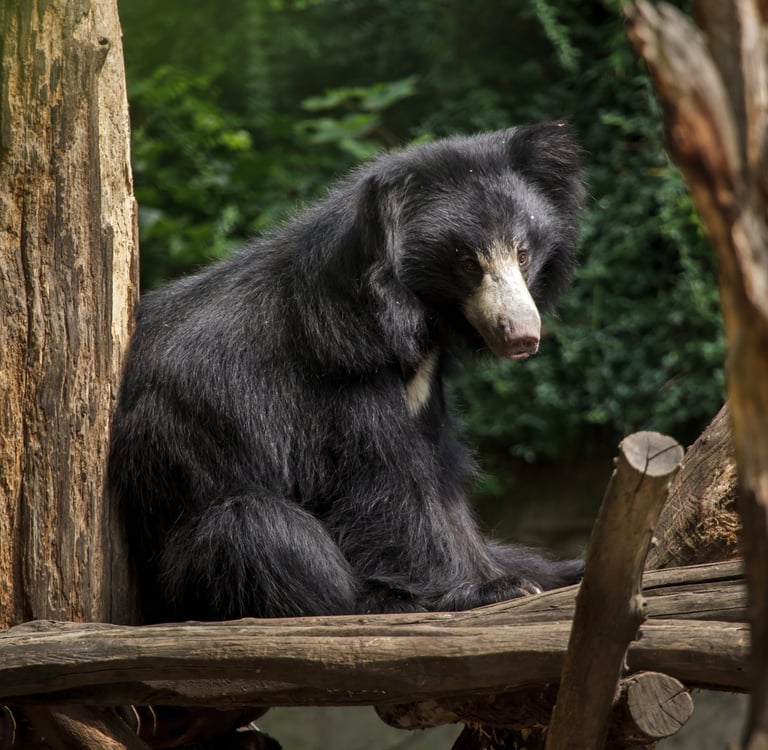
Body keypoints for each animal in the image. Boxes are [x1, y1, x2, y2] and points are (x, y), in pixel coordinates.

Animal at [107, 121, 586, 623]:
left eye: (523, 253)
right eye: (468, 262)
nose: (522, 336)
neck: (407, 319)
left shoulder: (423, 390)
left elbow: (442, 484)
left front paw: (516, 574)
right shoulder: (339, 376)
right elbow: (386, 486)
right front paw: (490, 588)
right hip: (182, 555)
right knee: (253, 527)